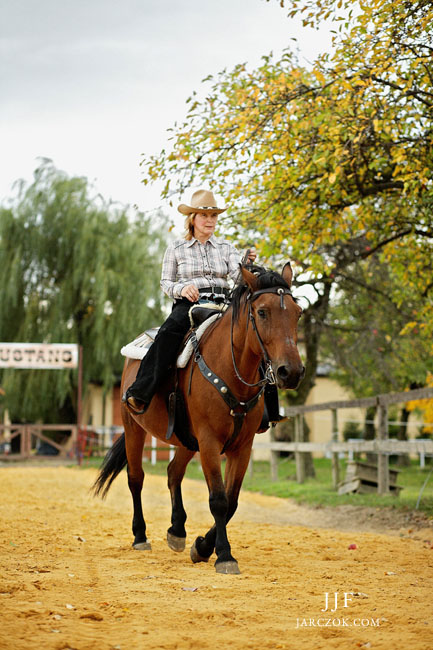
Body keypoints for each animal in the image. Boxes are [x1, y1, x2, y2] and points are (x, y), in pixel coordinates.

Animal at [93, 264, 304, 572]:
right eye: (262, 312)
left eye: (297, 312)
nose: (292, 372)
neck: (230, 370)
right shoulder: (209, 442)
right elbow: (218, 499)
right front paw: (223, 555)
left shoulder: (242, 446)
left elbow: (232, 500)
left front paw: (203, 546)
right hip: (134, 427)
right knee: (136, 478)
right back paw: (140, 536)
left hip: (186, 440)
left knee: (172, 473)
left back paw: (177, 531)